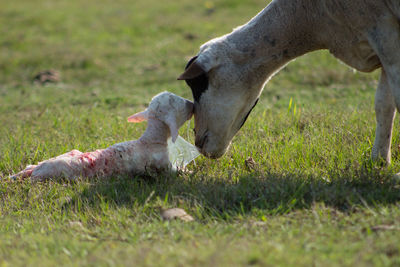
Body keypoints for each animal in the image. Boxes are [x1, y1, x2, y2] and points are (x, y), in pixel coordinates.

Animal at [10, 92, 195, 182]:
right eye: (175, 102)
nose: (192, 104)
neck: (149, 141)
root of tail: (36, 170)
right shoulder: (164, 167)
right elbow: (178, 172)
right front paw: (190, 172)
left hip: (65, 154)